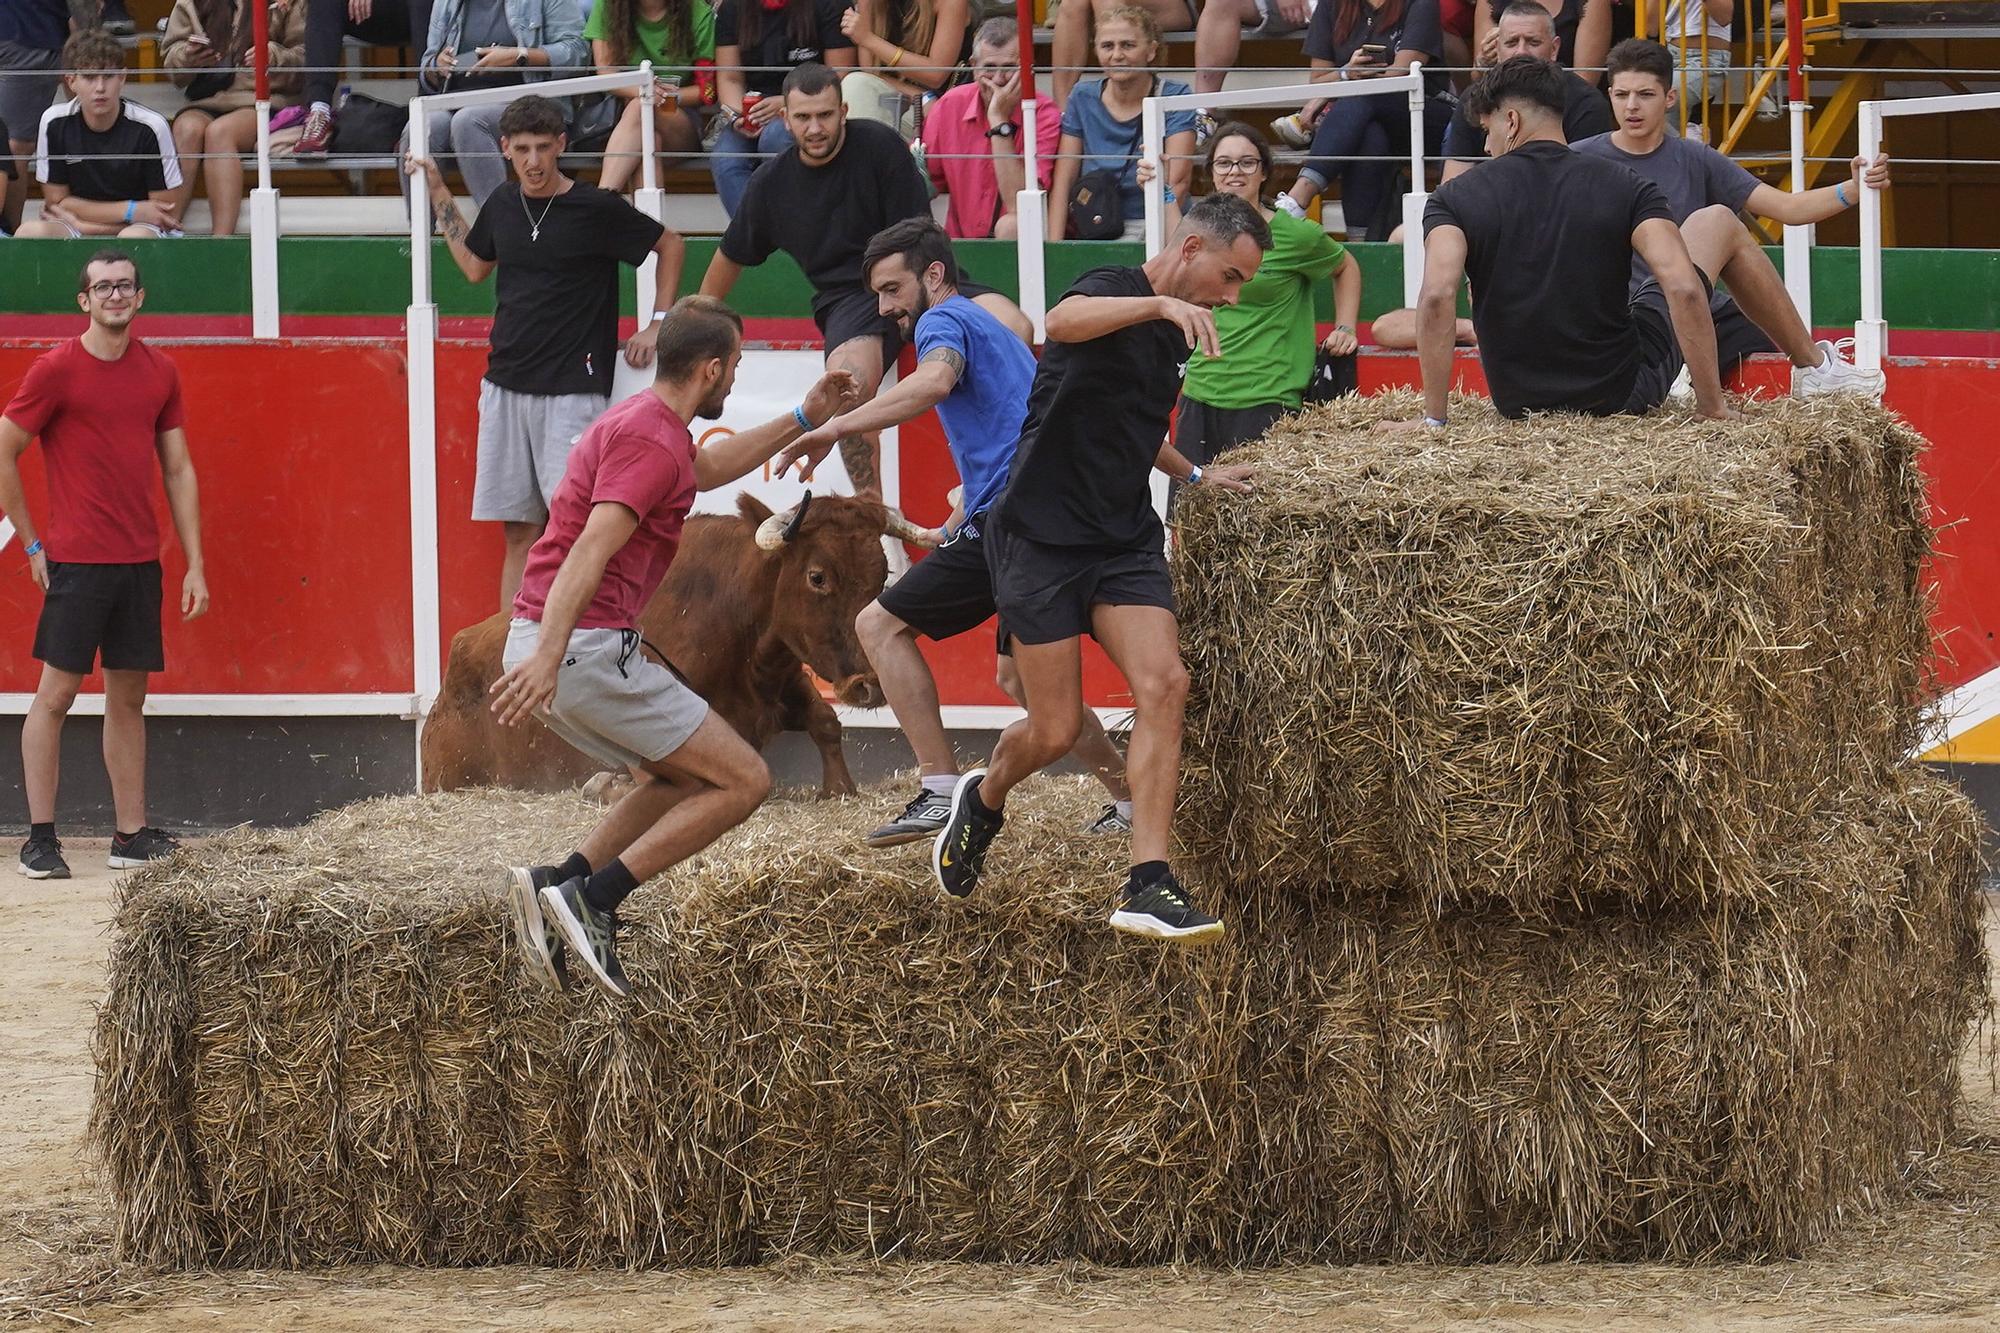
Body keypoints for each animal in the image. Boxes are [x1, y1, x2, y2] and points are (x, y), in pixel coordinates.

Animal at [422, 492, 936, 792]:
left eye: (881, 577)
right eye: (818, 576)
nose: (871, 685)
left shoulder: (786, 681)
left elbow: (826, 722)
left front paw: (839, 786)